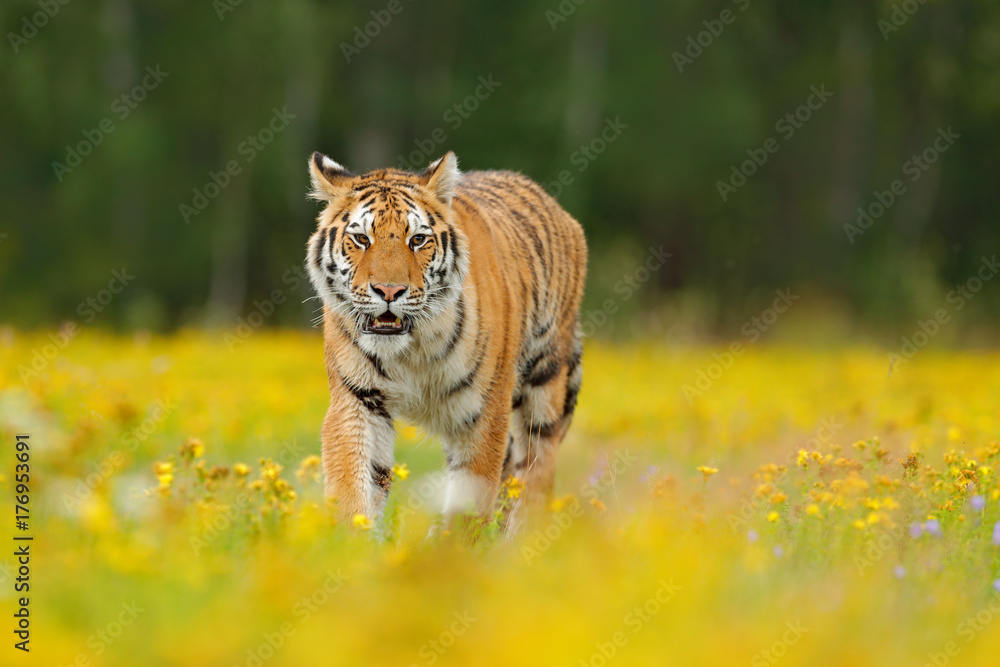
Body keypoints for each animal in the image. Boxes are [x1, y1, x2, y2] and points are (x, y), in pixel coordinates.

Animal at [302, 151, 584, 532]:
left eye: (418, 240)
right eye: (361, 239)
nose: (388, 291)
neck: (412, 348)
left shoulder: (484, 412)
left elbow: (469, 504)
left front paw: (451, 547)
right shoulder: (358, 399)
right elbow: (353, 481)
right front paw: (350, 540)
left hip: (543, 391)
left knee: (533, 478)